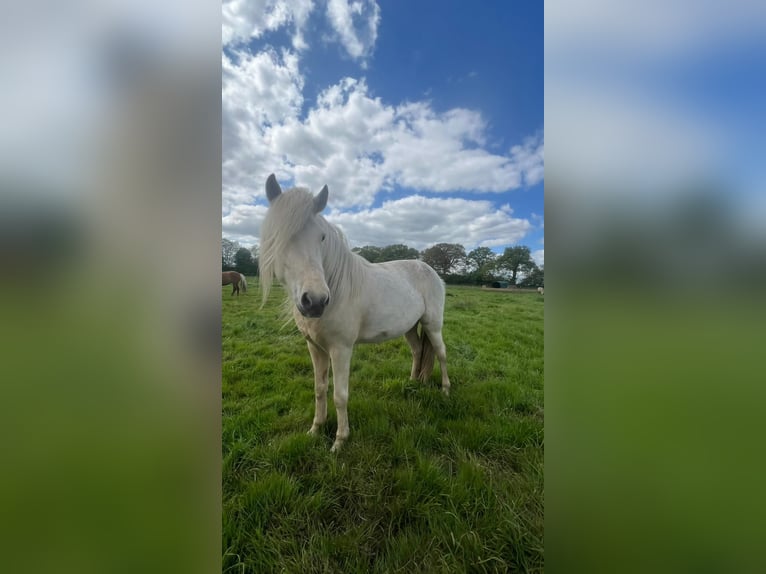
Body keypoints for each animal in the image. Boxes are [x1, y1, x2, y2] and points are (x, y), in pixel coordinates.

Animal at [260, 174, 450, 452]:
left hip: (433, 325)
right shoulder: (314, 347)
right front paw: (315, 430)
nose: (315, 301)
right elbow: (319, 389)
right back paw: (413, 382)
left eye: (321, 238)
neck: (336, 287)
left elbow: (340, 395)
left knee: (441, 353)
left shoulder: (341, 349)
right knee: (417, 351)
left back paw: (446, 391)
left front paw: (340, 441)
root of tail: (431, 271)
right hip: (409, 328)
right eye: (278, 236)